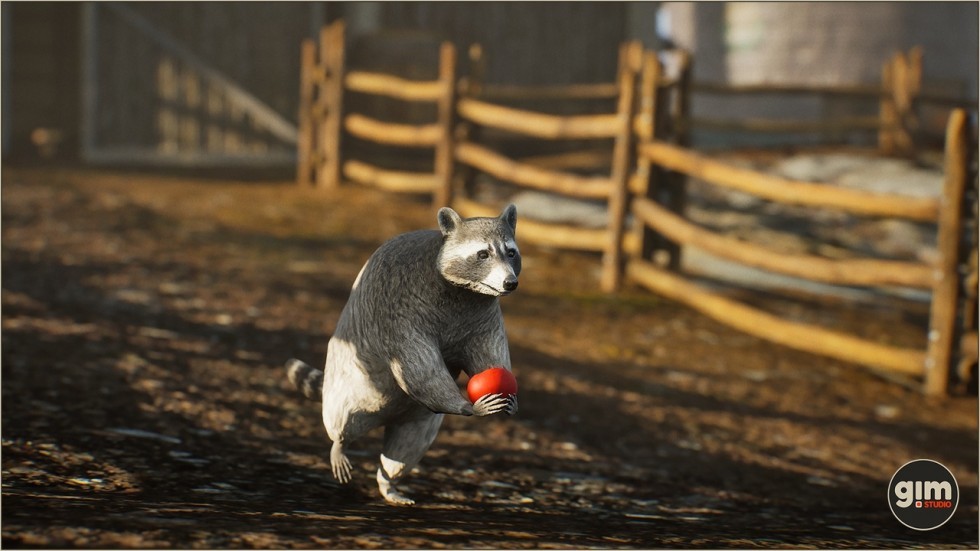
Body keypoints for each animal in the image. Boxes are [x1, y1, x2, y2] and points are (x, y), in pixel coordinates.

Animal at [286, 205, 520, 506]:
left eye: (511, 252)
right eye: (483, 254)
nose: (510, 283)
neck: (467, 293)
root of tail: (384, 417)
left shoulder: (482, 318)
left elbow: (490, 352)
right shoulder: (401, 305)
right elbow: (417, 365)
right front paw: (468, 406)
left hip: (417, 417)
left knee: (405, 450)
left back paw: (387, 483)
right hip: (348, 381)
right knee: (344, 416)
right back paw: (339, 443)